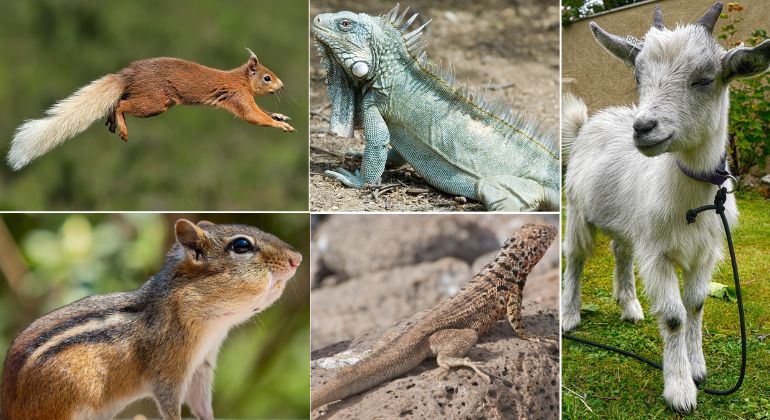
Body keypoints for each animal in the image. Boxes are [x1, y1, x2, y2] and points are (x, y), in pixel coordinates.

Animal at [9, 50, 296, 171]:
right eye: (268, 77)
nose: (282, 85)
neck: (240, 80)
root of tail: (128, 73)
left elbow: (262, 113)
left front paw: (280, 116)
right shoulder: (238, 97)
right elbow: (253, 116)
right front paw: (280, 124)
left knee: (117, 100)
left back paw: (111, 121)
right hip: (156, 102)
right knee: (121, 103)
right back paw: (121, 127)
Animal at [560, 1, 768, 412]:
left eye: (704, 79)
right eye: (638, 75)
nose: (642, 128)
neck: (692, 198)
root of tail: (587, 124)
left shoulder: (706, 251)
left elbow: (696, 305)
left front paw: (698, 368)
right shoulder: (658, 253)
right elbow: (674, 316)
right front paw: (681, 390)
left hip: (628, 221)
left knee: (621, 250)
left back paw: (630, 307)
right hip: (577, 210)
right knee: (575, 257)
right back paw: (569, 316)